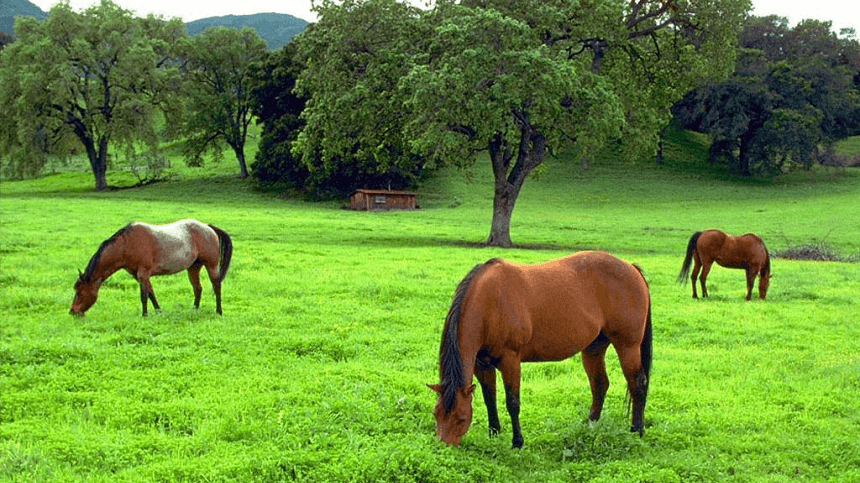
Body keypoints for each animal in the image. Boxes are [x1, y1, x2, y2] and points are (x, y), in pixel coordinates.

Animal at [71, 220, 233, 318]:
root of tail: (208, 227)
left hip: (211, 265)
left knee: (216, 286)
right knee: (197, 288)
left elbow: (144, 296)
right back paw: (195, 309)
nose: (72, 311)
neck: (127, 244)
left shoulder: (143, 273)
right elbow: (151, 293)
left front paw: (145, 315)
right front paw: (158, 311)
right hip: (193, 267)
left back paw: (219, 311)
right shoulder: (139, 275)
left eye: (80, 292)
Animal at [430, 253, 652, 450]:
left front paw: (517, 442)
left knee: (637, 383)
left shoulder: (510, 360)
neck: (489, 303)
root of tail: (632, 268)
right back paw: (591, 425)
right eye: (436, 414)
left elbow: (512, 402)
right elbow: (489, 398)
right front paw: (494, 433)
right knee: (600, 385)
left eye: (461, 419)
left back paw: (637, 430)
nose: (444, 447)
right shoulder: (482, 364)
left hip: (627, 346)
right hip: (594, 348)